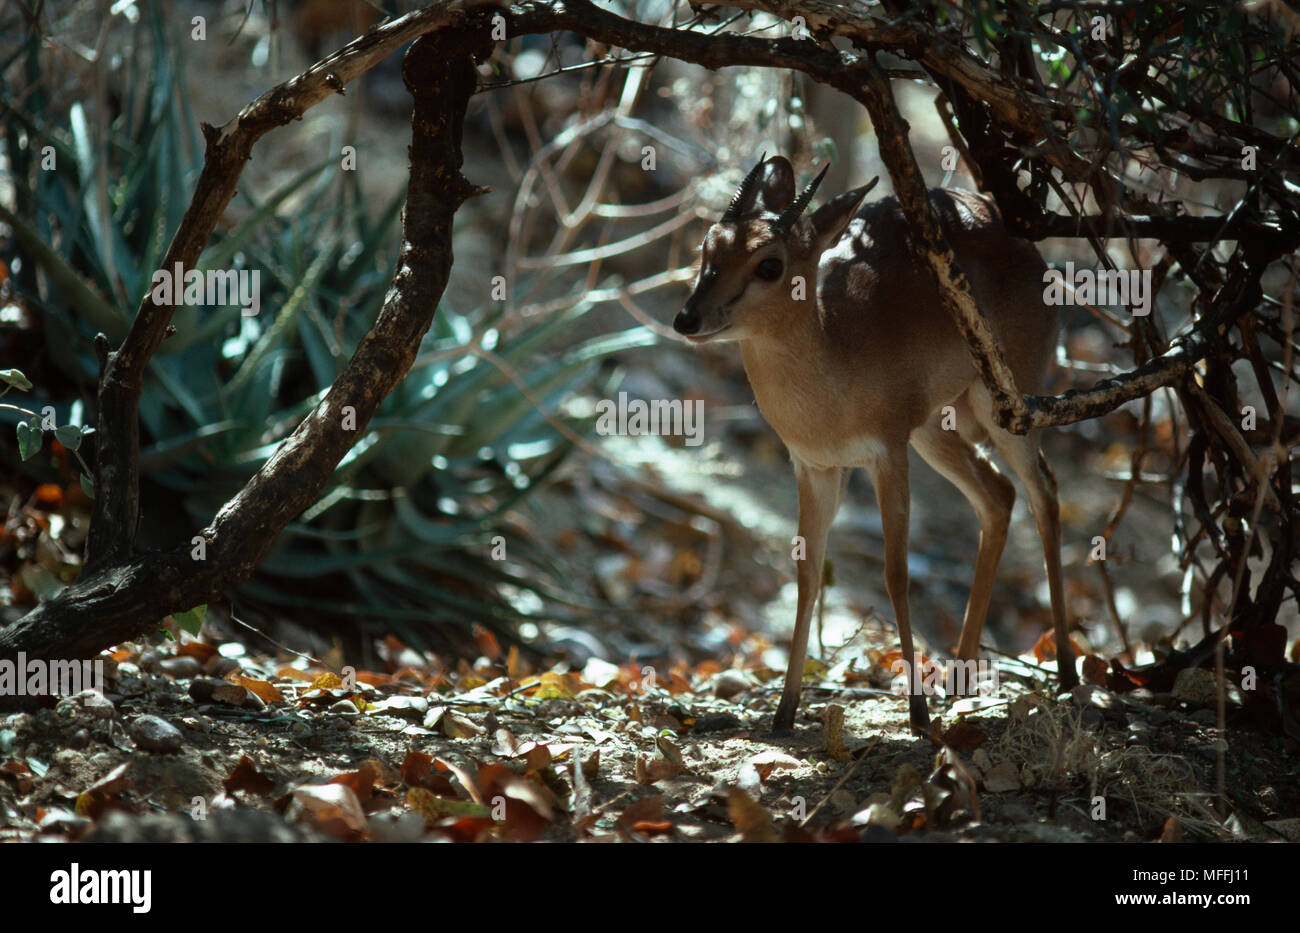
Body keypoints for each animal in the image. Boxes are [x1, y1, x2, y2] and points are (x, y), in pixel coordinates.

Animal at [681, 155, 1076, 738]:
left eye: (769, 264)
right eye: (710, 243)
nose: (688, 318)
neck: (838, 359)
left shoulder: (887, 453)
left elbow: (896, 573)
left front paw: (915, 712)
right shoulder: (815, 466)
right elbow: (807, 574)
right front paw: (784, 712)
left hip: (1005, 407)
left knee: (1044, 489)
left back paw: (1067, 671)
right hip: (936, 429)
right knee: (998, 496)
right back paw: (960, 678)